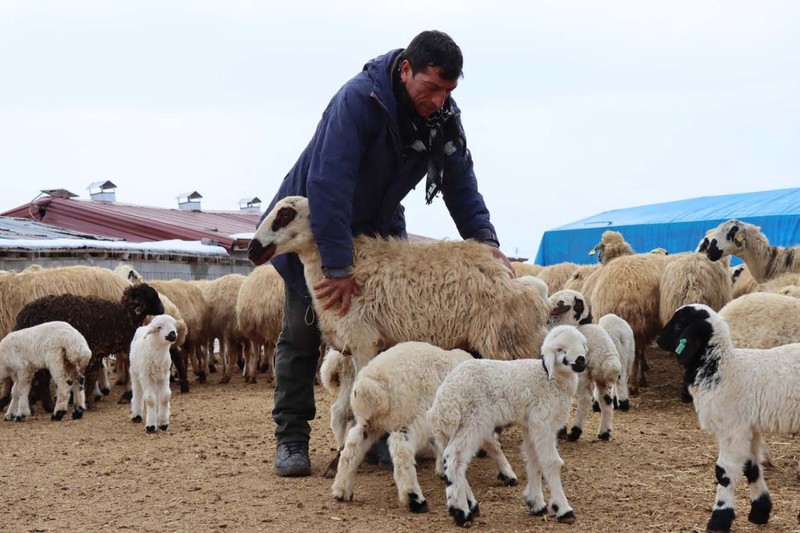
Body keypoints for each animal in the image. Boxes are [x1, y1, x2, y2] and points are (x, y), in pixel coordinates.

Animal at [13, 282, 165, 408]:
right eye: (152, 295)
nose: (163, 310)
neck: (121, 316)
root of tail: (21, 316)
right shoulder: (95, 352)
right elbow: (91, 377)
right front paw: (88, 401)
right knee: (39, 377)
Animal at [324, 342, 520, 512]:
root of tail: (372, 385)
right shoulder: (474, 417)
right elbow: (492, 444)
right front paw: (508, 474)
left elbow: (443, 444)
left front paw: (442, 469)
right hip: (410, 416)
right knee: (401, 451)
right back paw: (414, 498)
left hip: (370, 423)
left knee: (351, 448)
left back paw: (341, 490)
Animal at [428, 324, 592, 524]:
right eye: (560, 349)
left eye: (583, 344)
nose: (581, 361)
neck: (549, 380)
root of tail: (445, 397)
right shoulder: (542, 421)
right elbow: (551, 462)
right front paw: (563, 509)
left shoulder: (530, 424)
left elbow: (533, 459)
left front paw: (536, 504)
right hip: (473, 420)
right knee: (455, 457)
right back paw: (460, 511)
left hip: (457, 425)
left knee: (450, 458)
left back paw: (471, 504)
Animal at [656, 304, 800, 532]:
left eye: (680, 324)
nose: (659, 339)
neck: (722, 367)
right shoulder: (749, 428)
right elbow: (751, 468)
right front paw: (760, 512)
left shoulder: (732, 429)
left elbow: (723, 473)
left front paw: (719, 519)